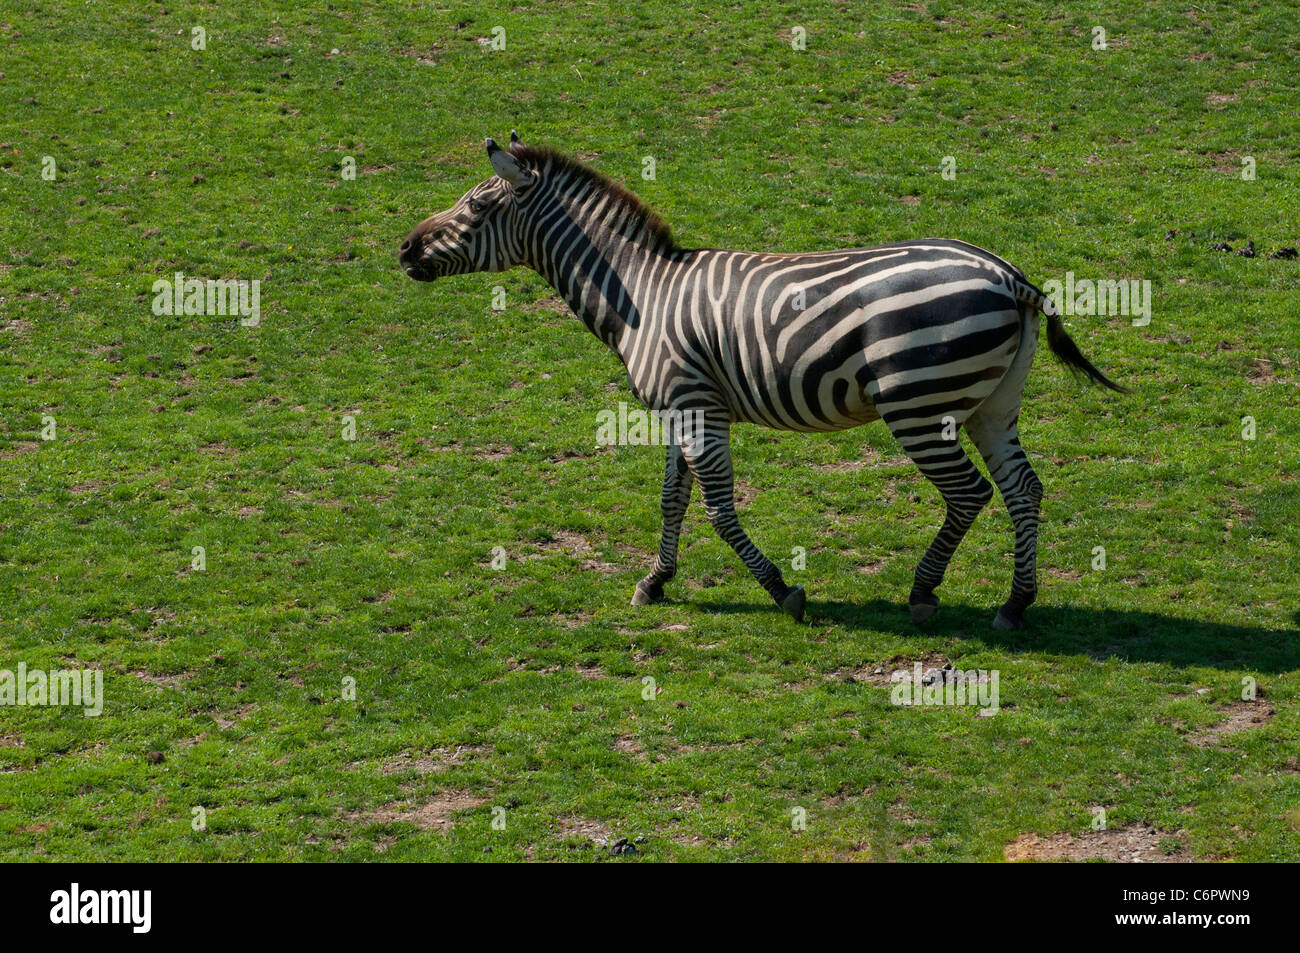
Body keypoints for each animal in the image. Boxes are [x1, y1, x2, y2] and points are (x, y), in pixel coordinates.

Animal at [399, 134, 1126, 631]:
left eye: (475, 206)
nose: (403, 248)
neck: (641, 294)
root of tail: (1008, 275)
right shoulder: (682, 406)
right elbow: (673, 499)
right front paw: (655, 581)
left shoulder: (695, 403)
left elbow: (719, 507)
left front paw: (782, 590)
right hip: (992, 404)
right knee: (1024, 489)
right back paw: (1015, 602)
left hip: (920, 404)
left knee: (970, 493)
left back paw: (924, 592)